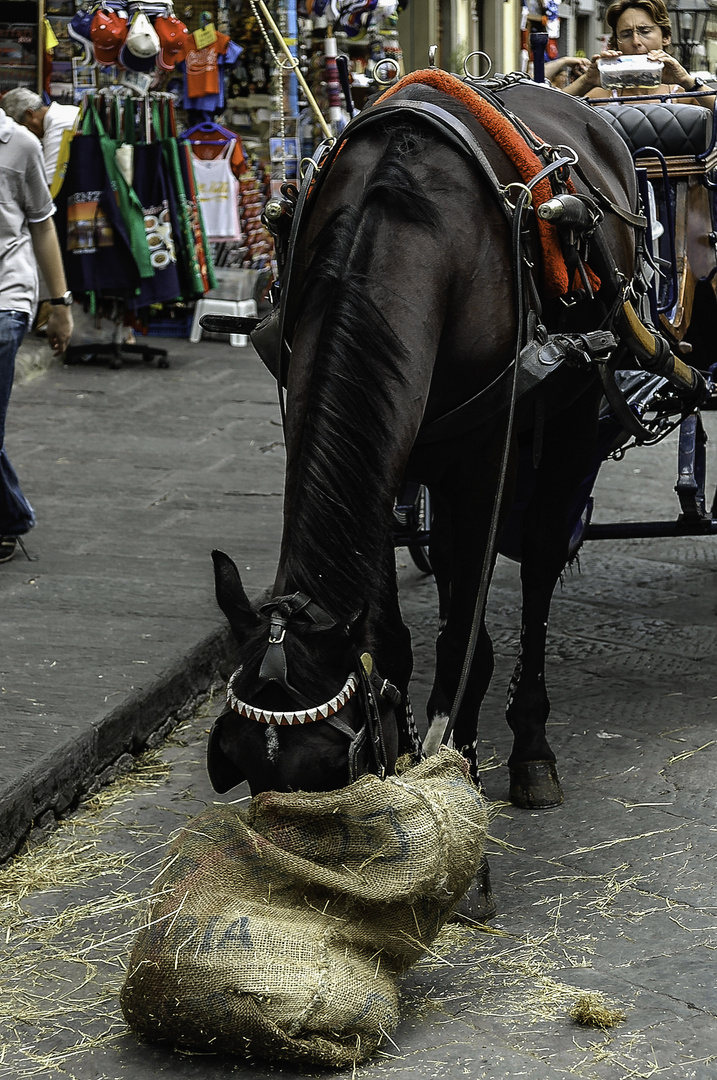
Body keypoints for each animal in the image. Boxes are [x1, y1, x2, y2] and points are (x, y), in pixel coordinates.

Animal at [208, 69, 678, 812]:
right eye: (241, 762)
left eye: (330, 768)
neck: (411, 236)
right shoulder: (377, 456)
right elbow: (394, 635)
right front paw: (415, 748)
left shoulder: (482, 457)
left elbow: (464, 631)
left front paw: (457, 756)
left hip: (574, 407)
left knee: (541, 558)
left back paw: (530, 746)